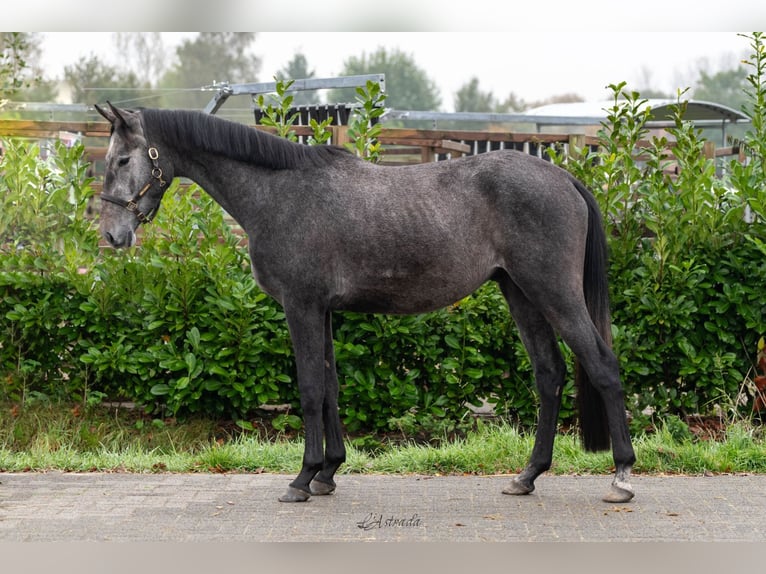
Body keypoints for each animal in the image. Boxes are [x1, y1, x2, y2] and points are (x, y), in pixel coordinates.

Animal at [94, 102, 636, 504]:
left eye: (122, 160)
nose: (113, 235)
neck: (279, 191)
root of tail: (564, 179)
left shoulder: (301, 306)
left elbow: (311, 388)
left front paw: (302, 478)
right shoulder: (323, 311)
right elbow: (331, 386)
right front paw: (328, 473)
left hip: (553, 292)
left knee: (602, 365)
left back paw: (622, 476)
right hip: (519, 292)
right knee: (549, 374)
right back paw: (528, 475)